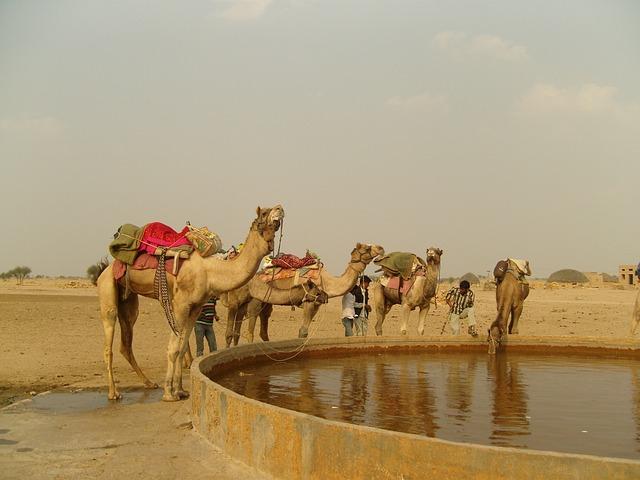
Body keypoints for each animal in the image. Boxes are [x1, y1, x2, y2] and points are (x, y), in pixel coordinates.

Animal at [95, 204, 284, 400]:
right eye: (265, 212)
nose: (280, 207)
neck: (211, 271)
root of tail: (106, 268)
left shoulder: (195, 307)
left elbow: (183, 346)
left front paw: (181, 390)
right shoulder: (181, 304)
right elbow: (174, 349)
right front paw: (169, 393)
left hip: (129, 300)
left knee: (126, 341)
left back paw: (149, 383)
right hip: (107, 288)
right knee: (108, 341)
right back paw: (113, 392)